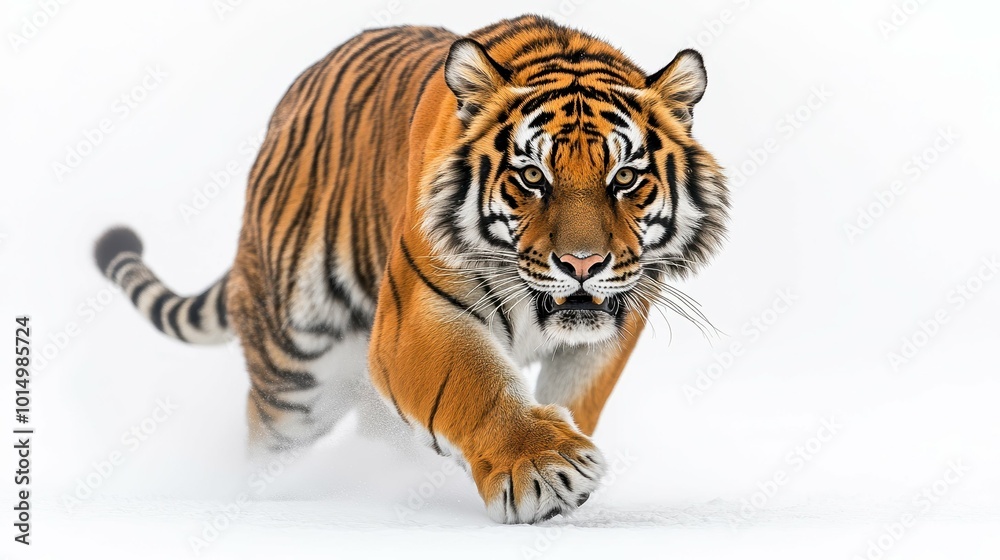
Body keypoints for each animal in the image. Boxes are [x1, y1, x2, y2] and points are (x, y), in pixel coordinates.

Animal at [93, 15, 729, 524]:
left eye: (625, 178)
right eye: (531, 177)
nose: (582, 263)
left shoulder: (609, 327)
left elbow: (576, 396)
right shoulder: (418, 315)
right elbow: (477, 386)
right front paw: (542, 469)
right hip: (294, 371)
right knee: (266, 433)